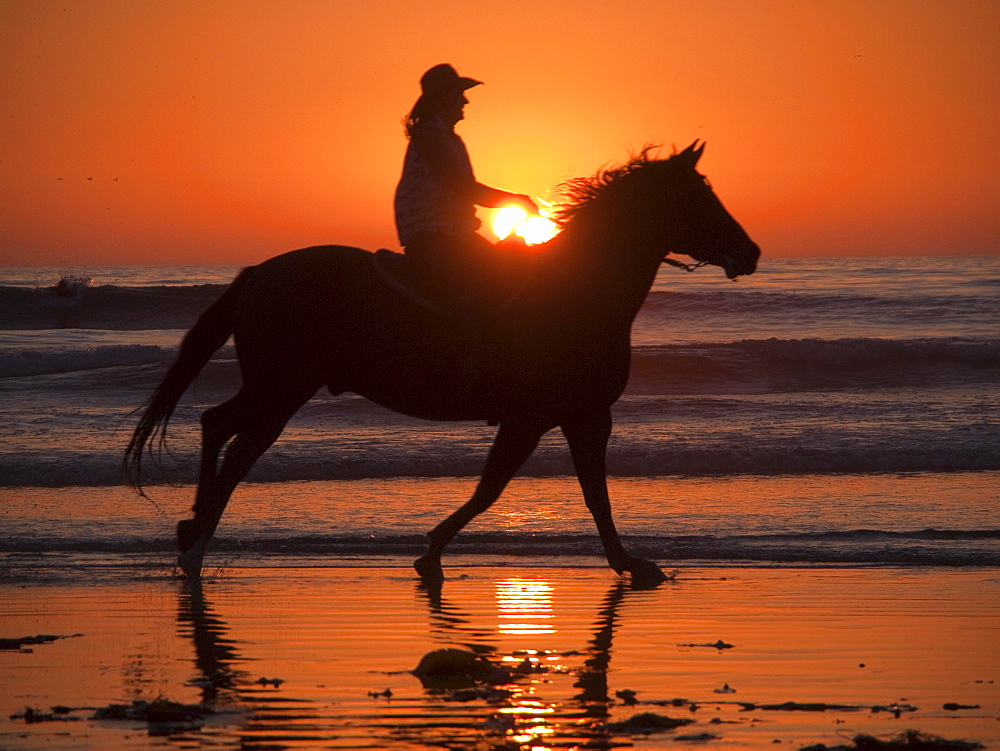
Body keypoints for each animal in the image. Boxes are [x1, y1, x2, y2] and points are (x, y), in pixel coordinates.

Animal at [129, 141, 760, 588]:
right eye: (698, 196)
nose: (750, 253)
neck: (578, 291)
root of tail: (258, 274)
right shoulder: (545, 416)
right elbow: (502, 489)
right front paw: (431, 552)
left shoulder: (574, 416)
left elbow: (581, 491)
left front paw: (626, 561)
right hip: (283, 389)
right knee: (236, 448)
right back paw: (196, 546)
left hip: (274, 386)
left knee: (215, 423)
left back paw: (191, 530)